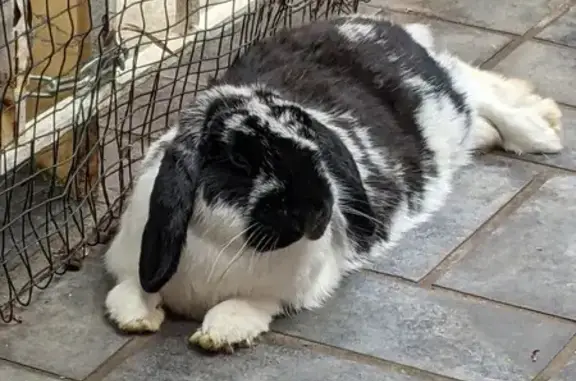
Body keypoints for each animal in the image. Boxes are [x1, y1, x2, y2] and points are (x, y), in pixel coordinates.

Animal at [103, 14, 564, 354]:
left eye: (313, 147)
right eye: (238, 160)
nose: (317, 210)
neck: (223, 242)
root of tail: (372, 24)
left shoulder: (290, 289)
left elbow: (246, 304)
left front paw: (220, 333)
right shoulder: (131, 263)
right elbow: (126, 291)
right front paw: (137, 316)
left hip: (442, 101)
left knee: (475, 89)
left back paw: (542, 130)